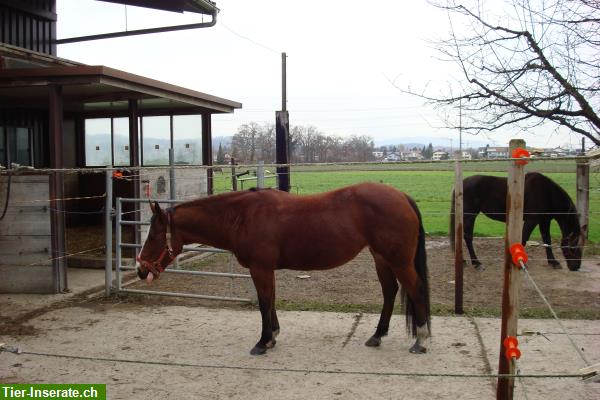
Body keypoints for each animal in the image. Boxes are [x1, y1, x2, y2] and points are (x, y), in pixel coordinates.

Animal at [137, 183, 432, 354]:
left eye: (153, 236)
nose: (141, 270)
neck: (242, 216)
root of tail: (402, 196)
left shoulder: (260, 268)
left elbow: (263, 302)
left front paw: (263, 342)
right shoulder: (267, 269)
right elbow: (271, 300)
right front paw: (273, 336)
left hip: (398, 260)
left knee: (416, 290)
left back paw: (421, 340)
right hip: (381, 258)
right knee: (390, 292)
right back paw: (377, 336)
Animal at [450, 173, 584, 270]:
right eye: (574, 247)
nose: (576, 267)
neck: (547, 193)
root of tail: (460, 186)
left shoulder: (544, 221)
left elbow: (547, 240)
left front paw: (553, 262)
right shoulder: (531, 220)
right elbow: (523, 239)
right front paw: (519, 261)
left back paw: (464, 261)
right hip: (469, 216)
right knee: (467, 237)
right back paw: (476, 262)